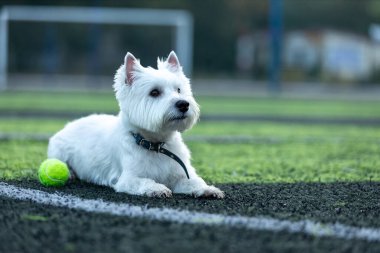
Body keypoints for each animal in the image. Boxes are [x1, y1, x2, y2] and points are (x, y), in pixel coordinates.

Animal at [47, 50, 226, 199]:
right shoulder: (128, 178)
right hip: (59, 151)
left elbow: (194, 181)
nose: (183, 104)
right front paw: (157, 189)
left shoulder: (180, 174)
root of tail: (70, 124)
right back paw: (70, 173)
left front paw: (208, 189)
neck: (156, 144)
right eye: (154, 92)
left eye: (179, 90)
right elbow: (144, 181)